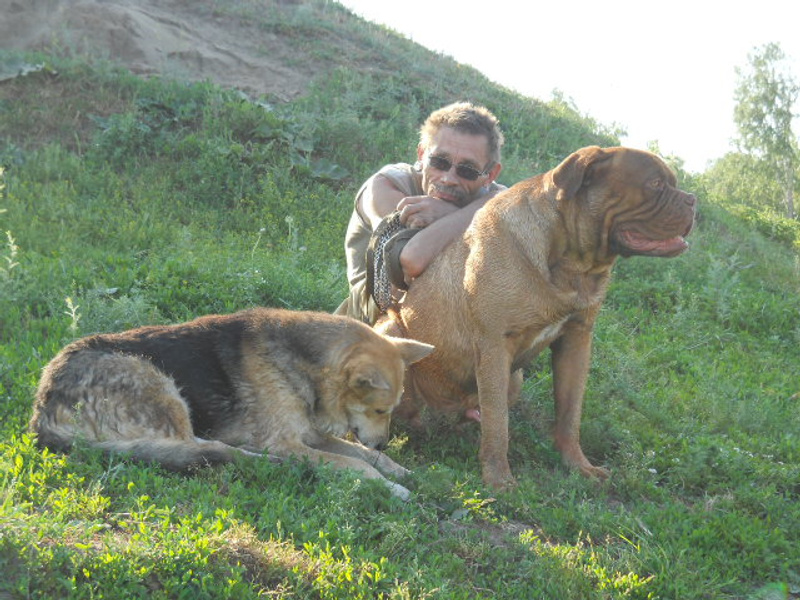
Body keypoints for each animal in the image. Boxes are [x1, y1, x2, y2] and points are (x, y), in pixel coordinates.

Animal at [30, 307, 433, 499]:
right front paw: (390, 488)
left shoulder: (310, 434)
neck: (305, 363)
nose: (382, 441)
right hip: (159, 384)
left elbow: (364, 457)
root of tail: (41, 413)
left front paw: (398, 470)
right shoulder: (285, 442)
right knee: (210, 450)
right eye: (380, 410)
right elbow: (356, 463)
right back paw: (274, 465)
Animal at [376, 146, 696, 489]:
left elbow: (570, 414)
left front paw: (578, 466)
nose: (693, 201)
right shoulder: (494, 344)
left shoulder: (576, 340)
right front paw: (500, 480)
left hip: (513, 378)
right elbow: (498, 422)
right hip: (391, 330)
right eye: (655, 184)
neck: (572, 265)